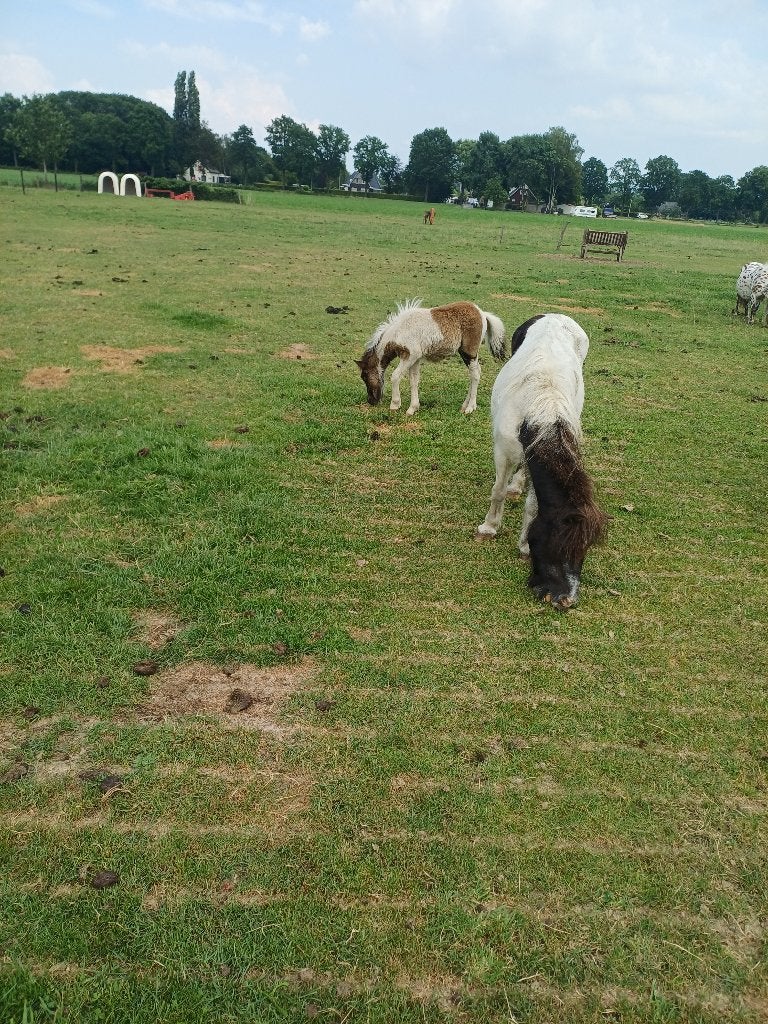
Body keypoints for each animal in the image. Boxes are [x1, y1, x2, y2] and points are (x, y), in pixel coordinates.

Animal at [356, 299, 506, 416]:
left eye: (365, 376)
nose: (371, 401)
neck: (399, 331)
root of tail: (482, 313)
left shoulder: (409, 356)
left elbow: (395, 376)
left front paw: (395, 404)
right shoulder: (415, 359)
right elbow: (414, 381)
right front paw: (413, 408)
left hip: (469, 352)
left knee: (475, 375)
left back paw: (470, 408)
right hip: (466, 353)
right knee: (475, 373)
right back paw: (465, 405)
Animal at [476, 312, 607, 610]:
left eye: (583, 550)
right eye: (557, 543)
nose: (565, 600)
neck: (540, 413)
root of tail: (554, 315)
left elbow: (533, 506)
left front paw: (523, 544)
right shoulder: (503, 451)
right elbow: (497, 491)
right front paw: (489, 527)